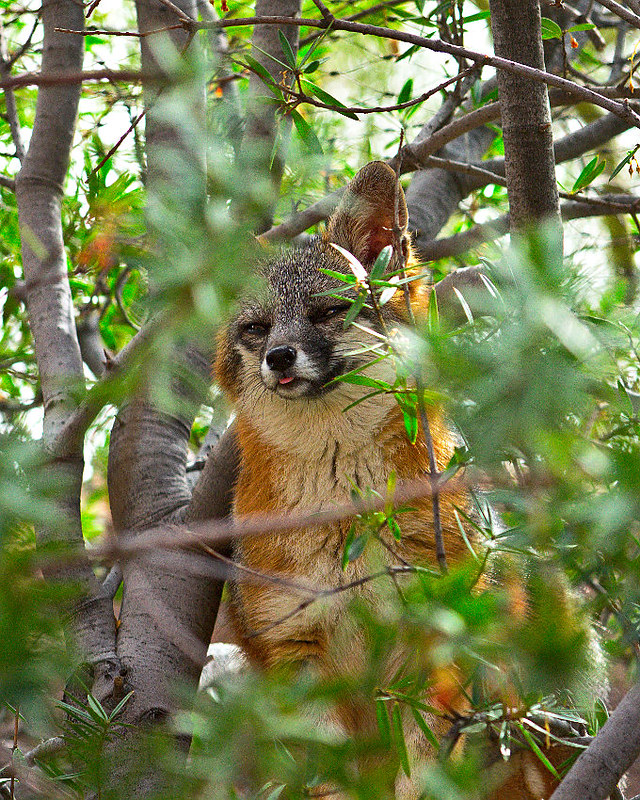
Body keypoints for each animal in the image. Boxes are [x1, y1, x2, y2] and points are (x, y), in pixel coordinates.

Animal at [214, 162, 588, 799]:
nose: (280, 357)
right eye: (257, 328)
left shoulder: (433, 642)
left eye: (328, 313)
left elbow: (423, 767)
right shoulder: (295, 652)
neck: (348, 523)